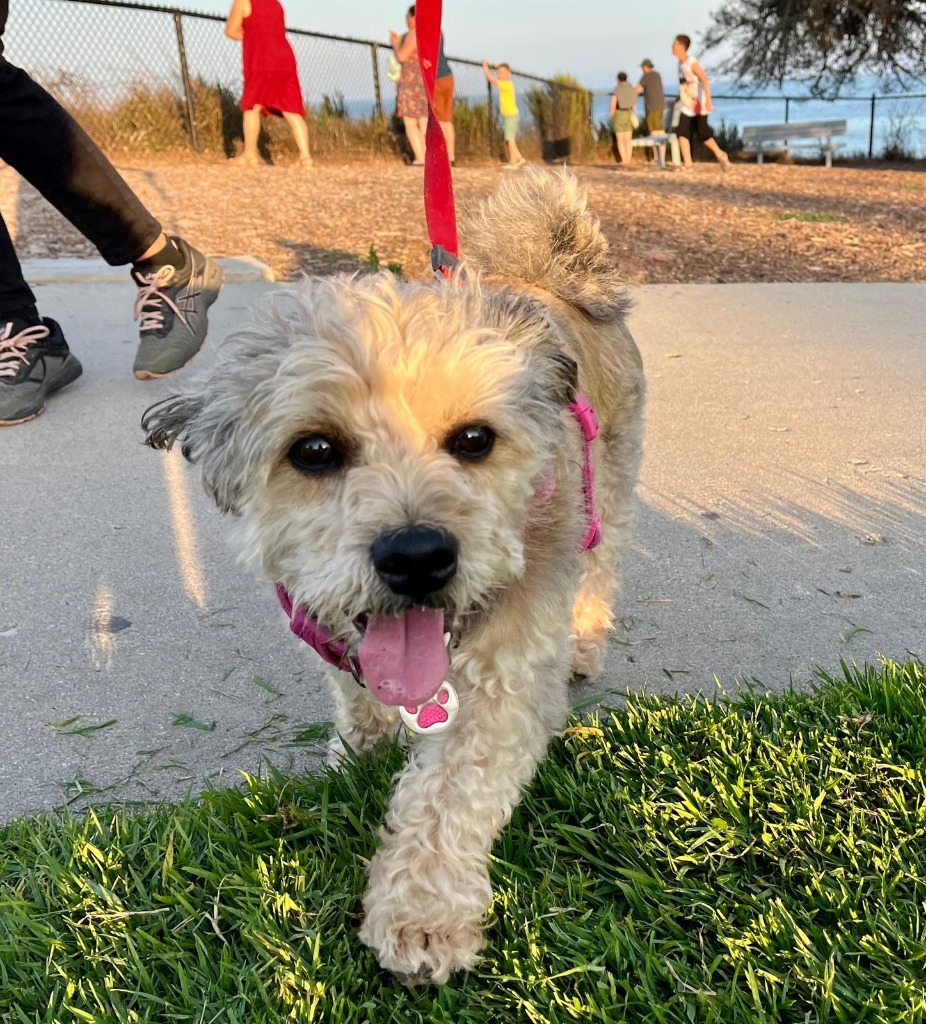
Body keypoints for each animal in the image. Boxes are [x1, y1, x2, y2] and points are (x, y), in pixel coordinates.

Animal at [142, 169, 643, 983]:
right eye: (314, 449)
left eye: (474, 439)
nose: (417, 555)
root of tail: (548, 276)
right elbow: (354, 690)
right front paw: (362, 747)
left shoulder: (504, 680)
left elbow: (450, 795)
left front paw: (422, 918)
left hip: (612, 486)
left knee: (600, 569)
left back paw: (587, 642)